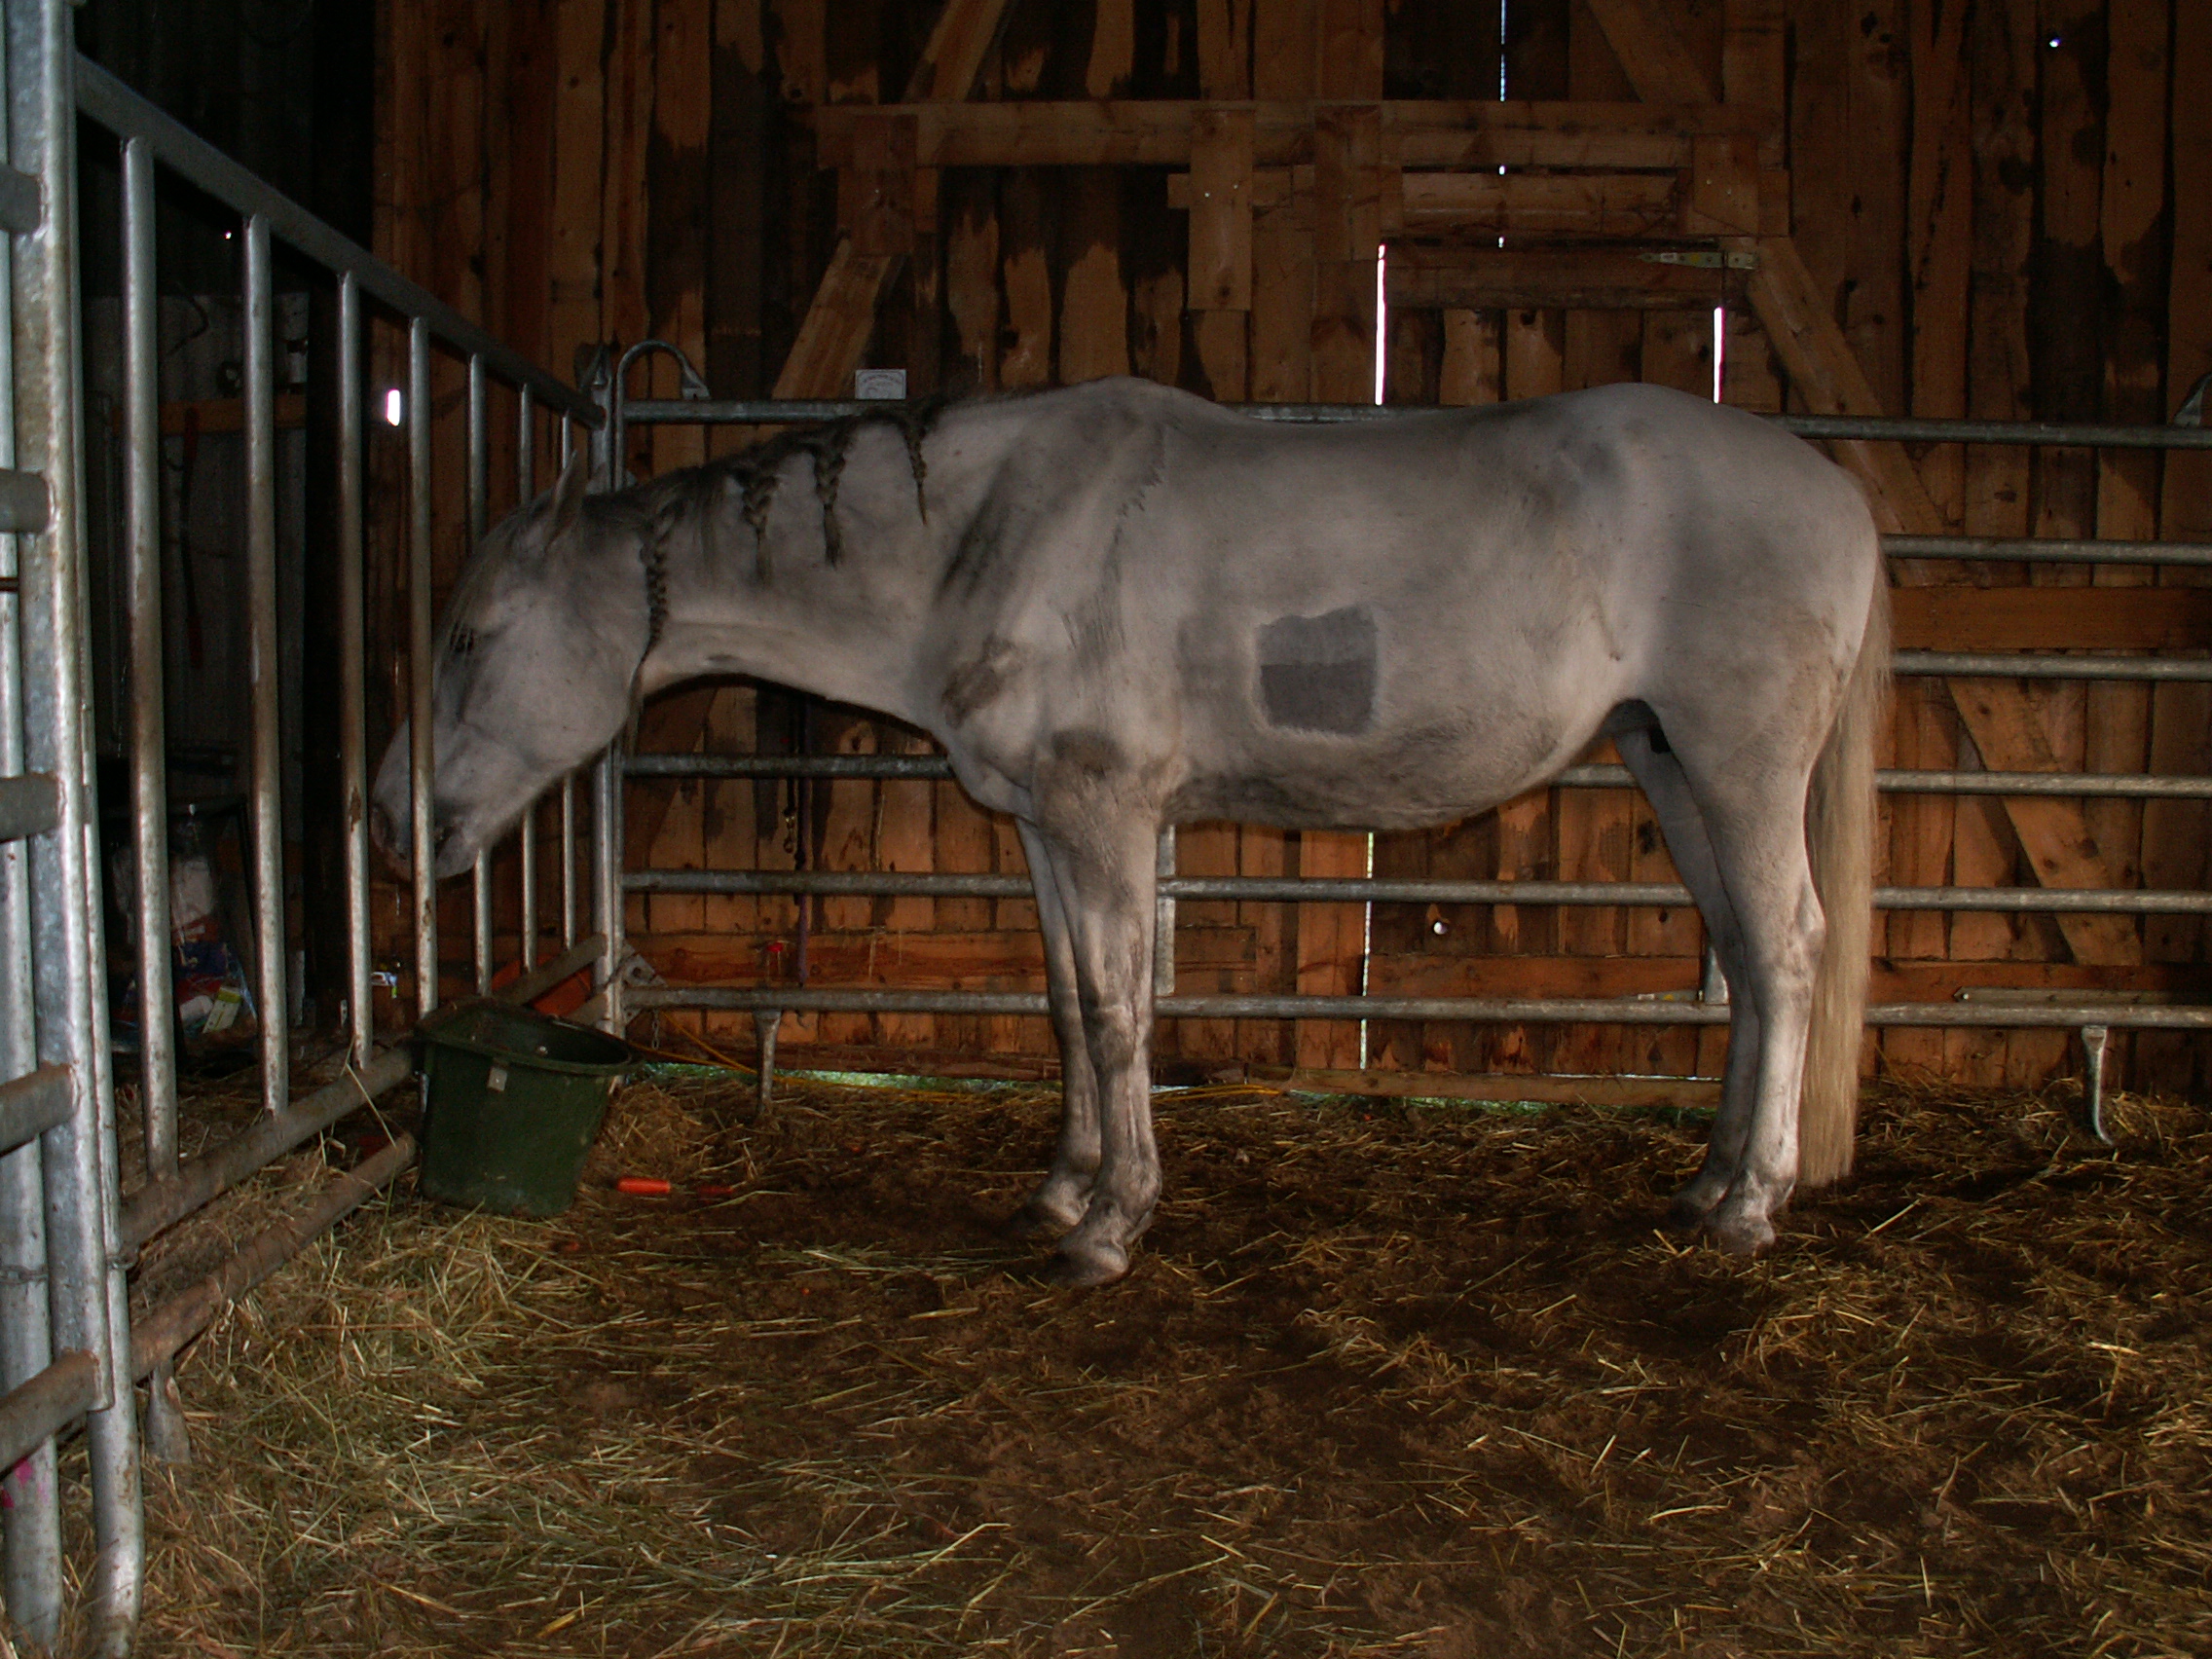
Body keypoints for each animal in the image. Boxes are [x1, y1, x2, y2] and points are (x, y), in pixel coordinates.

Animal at [376, 383, 1884, 1291]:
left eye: (471, 637)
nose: (387, 821)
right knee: (1750, 959)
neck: (992, 537)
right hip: (1670, 761)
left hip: (1741, 766)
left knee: (1788, 951)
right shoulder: (1047, 826)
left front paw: (1111, 1224)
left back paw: (1753, 1202)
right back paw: (1708, 1180)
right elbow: (1065, 1003)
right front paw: (1063, 1187)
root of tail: (1842, 497)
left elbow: (1116, 1011)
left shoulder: (1107, 813)